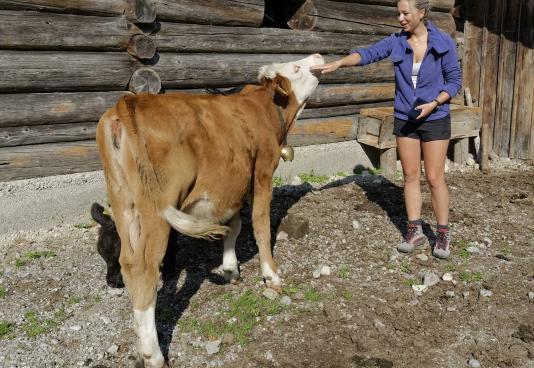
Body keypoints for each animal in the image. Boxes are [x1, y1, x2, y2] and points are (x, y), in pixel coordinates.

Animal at [95, 53, 326, 366]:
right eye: (296, 67)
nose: (318, 56)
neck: (265, 108)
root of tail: (129, 103)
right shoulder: (263, 170)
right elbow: (260, 224)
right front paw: (271, 275)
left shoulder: (233, 179)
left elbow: (233, 225)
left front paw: (230, 268)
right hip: (156, 209)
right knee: (143, 267)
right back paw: (153, 354)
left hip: (123, 203)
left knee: (128, 262)